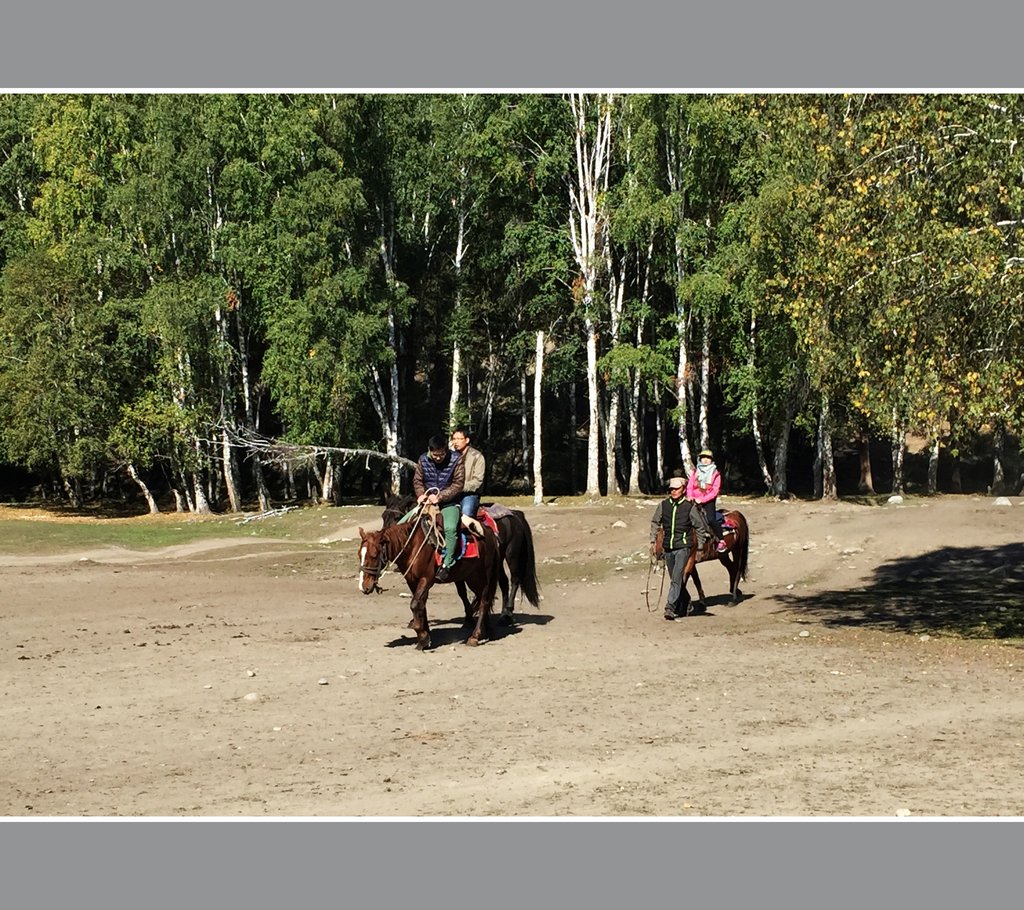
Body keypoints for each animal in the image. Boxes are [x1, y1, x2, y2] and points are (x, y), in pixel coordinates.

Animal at [358, 507, 501, 651]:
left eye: (374, 555)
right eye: (359, 554)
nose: (364, 586)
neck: (413, 546)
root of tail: (489, 534)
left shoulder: (426, 579)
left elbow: (415, 604)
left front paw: (421, 635)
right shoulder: (412, 581)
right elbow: (421, 605)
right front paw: (425, 637)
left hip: (481, 577)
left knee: (484, 601)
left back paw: (475, 636)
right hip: (470, 577)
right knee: (483, 600)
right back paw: (488, 631)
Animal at [385, 489, 544, 626]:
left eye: (397, 517)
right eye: (383, 517)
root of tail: (515, 514)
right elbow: (461, 592)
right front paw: (469, 615)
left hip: (512, 555)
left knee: (515, 580)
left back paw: (508, 614)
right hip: (498, 561)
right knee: (504, 582)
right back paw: (503, 613)